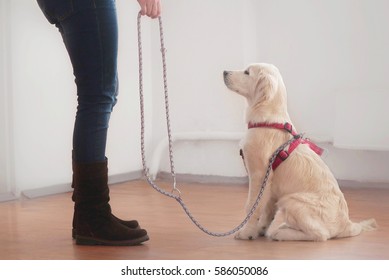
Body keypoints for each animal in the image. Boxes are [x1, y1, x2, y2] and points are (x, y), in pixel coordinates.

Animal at [224, 63, 376, 241]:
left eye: (247, 72)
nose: (224, 72)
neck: (268, 121)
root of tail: (347, 225)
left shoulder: (259, 175)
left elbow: (252, 207)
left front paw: (246, 232)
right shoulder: (271, 185)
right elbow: (267, 209)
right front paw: (259, 229)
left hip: (291, 200)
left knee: (321, 235)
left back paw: (282, 233)